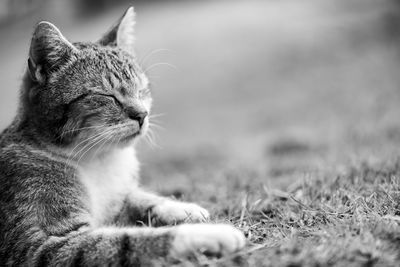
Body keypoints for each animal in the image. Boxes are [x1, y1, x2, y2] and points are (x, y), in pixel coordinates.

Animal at [0, 6, 245, 267]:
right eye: (108, 95)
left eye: (142, 90)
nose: (142, 115)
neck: (98, 160)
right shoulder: (41, 246)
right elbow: (127, 241)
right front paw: (209, 234)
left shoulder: (119, 199)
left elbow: (139, 198)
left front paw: (183, 208)